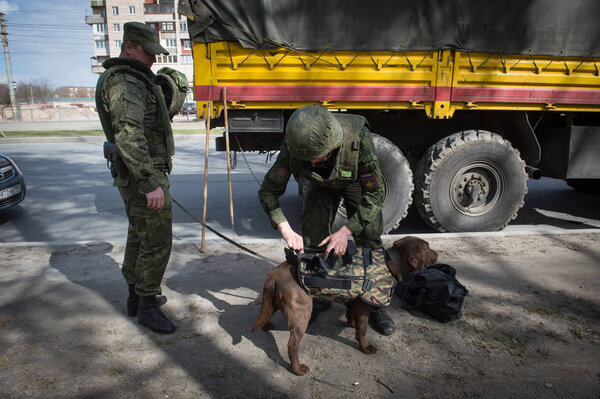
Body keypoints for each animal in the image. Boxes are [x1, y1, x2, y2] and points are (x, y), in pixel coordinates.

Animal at [251, 236, 438, 376]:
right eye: (428, 248)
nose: (436, 254)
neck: (390, 262)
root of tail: (275, 272)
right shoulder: (364, 307)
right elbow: (362, 331)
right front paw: (365, 347)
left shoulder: (354, 302)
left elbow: (351, 315)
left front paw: (351, 324)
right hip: (301, 312)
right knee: (292, 344)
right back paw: (298, 369)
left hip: (273, 301)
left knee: (265, 315)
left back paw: (267, 326)